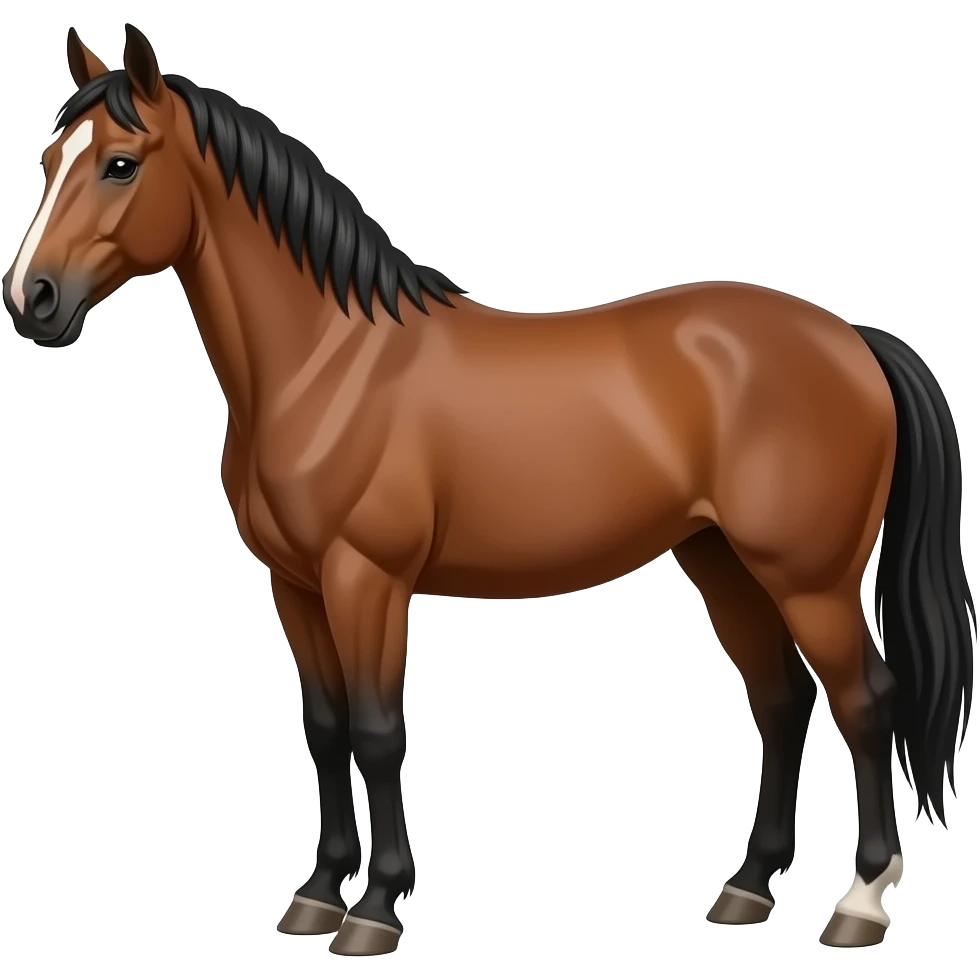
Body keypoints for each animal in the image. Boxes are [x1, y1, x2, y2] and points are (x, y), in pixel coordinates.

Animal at [2, 25, 974, 956]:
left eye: (121, 163)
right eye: (48, 162)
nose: (31, 300)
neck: (326, 363)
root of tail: (851, 338)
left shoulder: (366, 578)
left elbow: (376, 731)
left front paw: (375, 911)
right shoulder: (295, 583)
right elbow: (323, 727)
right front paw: (316, 894)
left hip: (810, 579)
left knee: (865, 702)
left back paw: (860, 903)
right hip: (723, 561)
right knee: (781, 702)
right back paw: (747, 888)